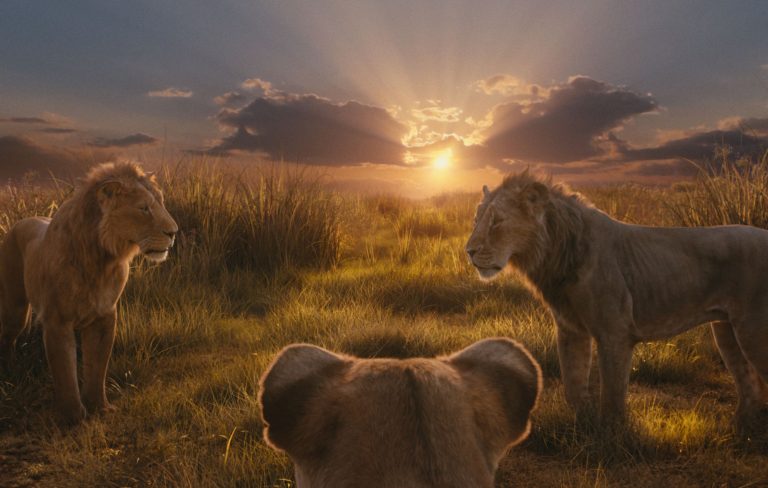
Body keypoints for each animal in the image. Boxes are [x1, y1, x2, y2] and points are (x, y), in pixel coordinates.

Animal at [0, 161, 178, 425]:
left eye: (161, 203)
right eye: (144, 208)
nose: (174, 232)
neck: (101, 259)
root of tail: (21, 221)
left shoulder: (104, 316)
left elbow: (97, 367)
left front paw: (99, 408)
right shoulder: (57, 321)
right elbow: (65, 371)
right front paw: (73, 417)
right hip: (15, 308)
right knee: (8, 337)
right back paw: (9, 370)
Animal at [465, 171, 768, 426]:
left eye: (497, 221)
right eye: (476, 219)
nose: (468, 251)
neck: (556, 253)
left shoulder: (615, 332)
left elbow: (612, 393)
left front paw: (611, 435)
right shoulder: (570, 330)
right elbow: (572, 383)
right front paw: (582, 425)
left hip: (753, 331)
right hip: (726, 330)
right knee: (749, 384)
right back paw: (740, 428)